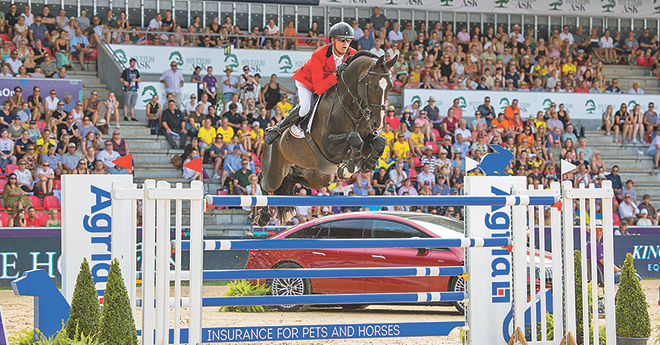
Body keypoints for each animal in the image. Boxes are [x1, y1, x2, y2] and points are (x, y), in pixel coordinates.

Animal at [255, 49, 394, 224]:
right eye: (374, 85)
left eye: (390, 86)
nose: (378, 124)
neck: (351, 106)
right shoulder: (328, 145)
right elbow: (354, 137)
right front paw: (351, 165)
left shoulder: (367, 138)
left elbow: (379, 141)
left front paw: (366, 165)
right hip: (275, 171)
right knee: (264, 181)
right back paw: (263, 216)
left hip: (317, 176)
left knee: (292, 178)